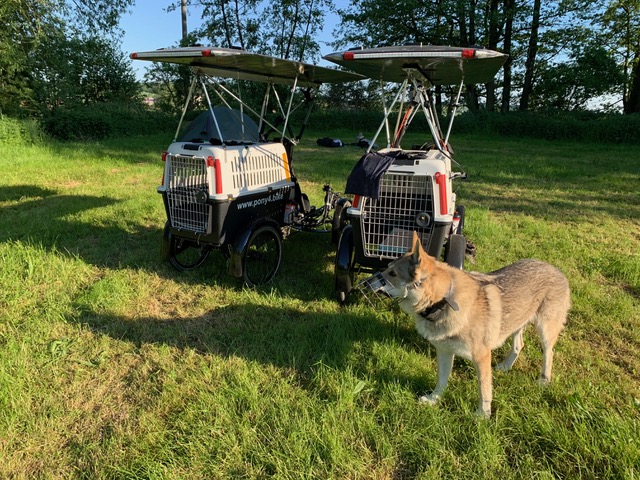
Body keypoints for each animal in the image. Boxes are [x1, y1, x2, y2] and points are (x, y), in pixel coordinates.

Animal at [362, 232, 572, 416]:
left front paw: (482, 416)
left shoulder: (482, 357)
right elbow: (441, 380)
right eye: (388, 268)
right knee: (519, 345)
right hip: (516, 324)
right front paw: (433, 399)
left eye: (392, 273)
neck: (442, 302)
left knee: (549, 353)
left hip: (544, 331)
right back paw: (506, 366)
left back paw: (544, 380)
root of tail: (557, 270)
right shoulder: (444, 352)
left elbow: (484, 390)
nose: (366, 283)